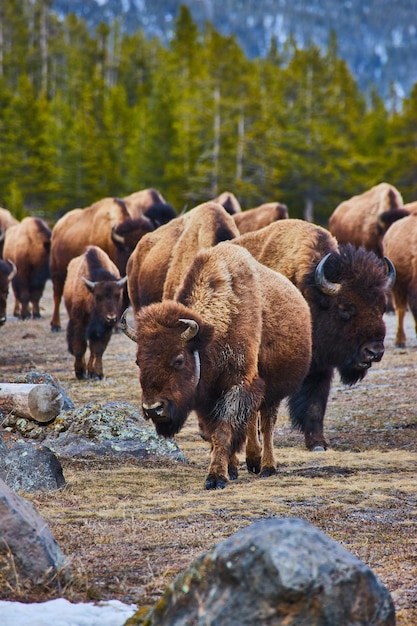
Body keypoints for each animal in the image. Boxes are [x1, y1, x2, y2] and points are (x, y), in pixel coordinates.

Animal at [49, 197, 153, 330]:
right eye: (128, 249)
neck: (113, 243)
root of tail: (57, 227)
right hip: (57, 272)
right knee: (57, 296)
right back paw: (55, 325)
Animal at [63, 246, 127, 378]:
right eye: (98, 296)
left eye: (117, 295)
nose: (110, 318)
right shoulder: (78, 322)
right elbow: (79, 347)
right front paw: (80, 372)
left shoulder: (104, 329)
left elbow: (98, 349)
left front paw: (97, 374)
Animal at [122, 241, 310, 490]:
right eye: (138, 361)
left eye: (179, 359)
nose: (153, 408)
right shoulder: (208, 398)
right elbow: (215, 432)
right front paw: (230, 469)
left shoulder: (238, 385)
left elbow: (223, 429)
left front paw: (216, 477)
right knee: (251, 420)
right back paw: (251, 461)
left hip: (273, 390)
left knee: (266, 423)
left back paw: (267, 467)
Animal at [232, 218, 394, 448]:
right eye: (345, 308)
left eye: (381, 307)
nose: (374, 352)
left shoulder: (320, 368)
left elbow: (315, 404)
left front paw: (318, 443)